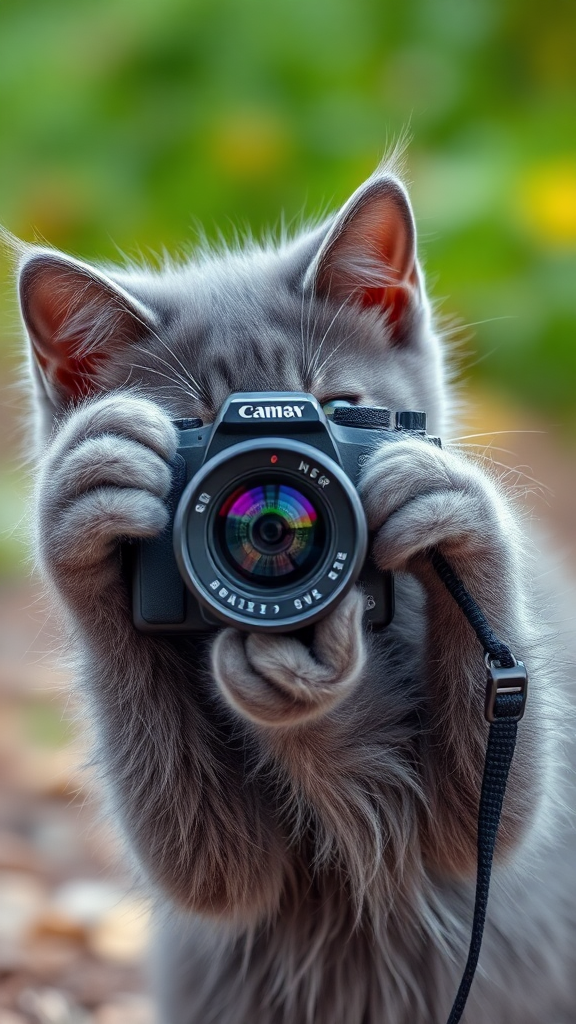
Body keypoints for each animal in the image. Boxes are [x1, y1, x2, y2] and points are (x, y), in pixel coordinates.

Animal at [8, 163, 573, 1019]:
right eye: (185, 422)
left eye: (343, 410)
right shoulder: (214, 863)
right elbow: (210, 865)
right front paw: (98, 479)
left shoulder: (481, 834)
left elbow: (494, 816)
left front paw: (443, 504)